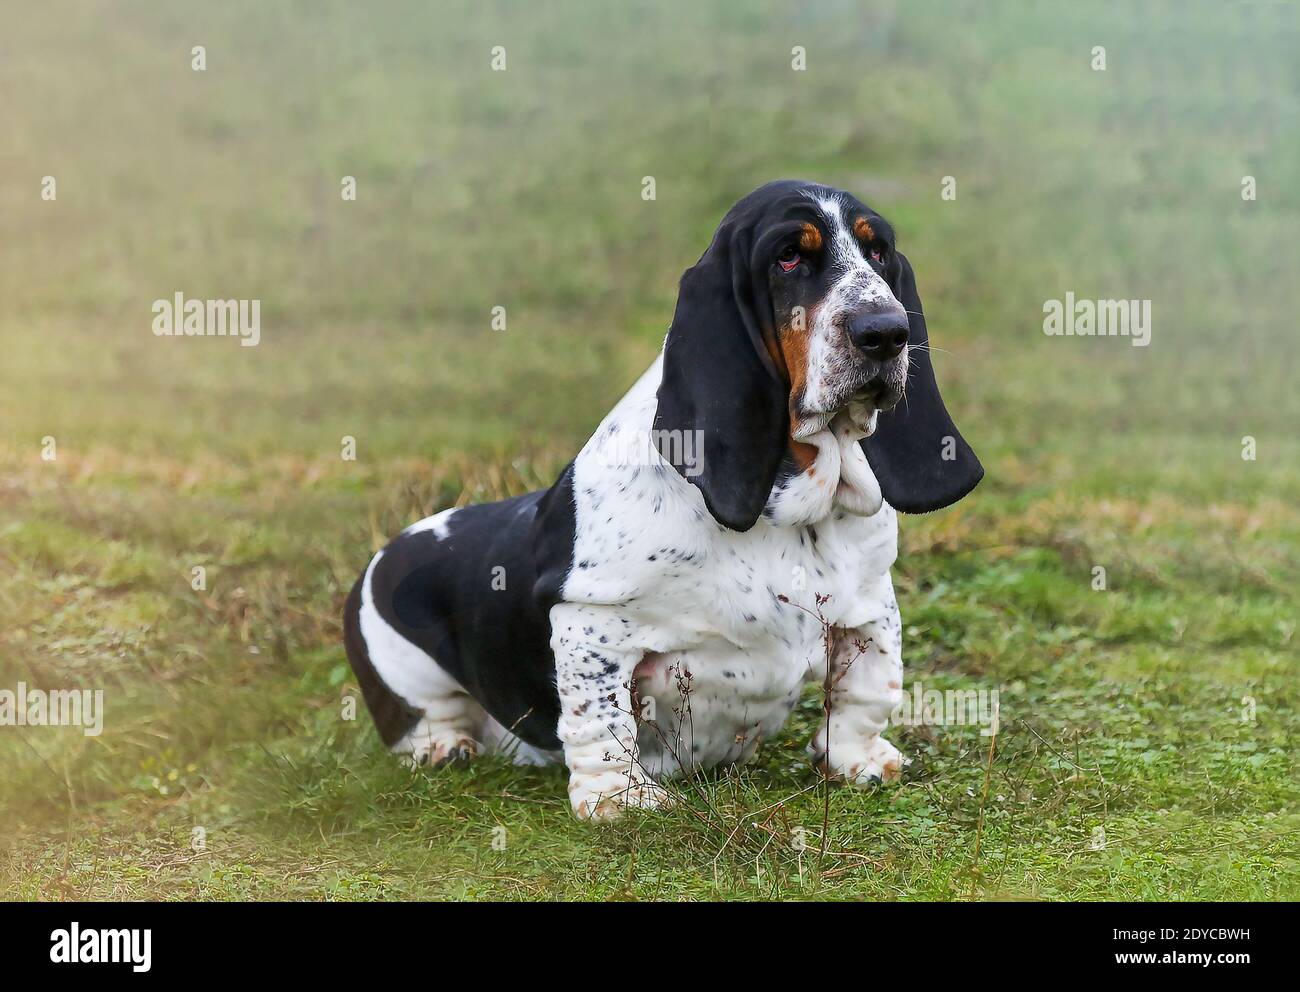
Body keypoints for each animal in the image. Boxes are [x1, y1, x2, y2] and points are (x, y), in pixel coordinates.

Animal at [340, 180, 977, 821]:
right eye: (788, 257)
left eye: (879, 252)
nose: (887, 332)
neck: (790, 504)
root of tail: (384, 554)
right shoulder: (589, 622)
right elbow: (601, 721)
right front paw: (619, 801)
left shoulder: (870, 603)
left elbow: (868, 687)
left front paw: (859, 762)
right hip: (402, 660)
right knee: (431, 715)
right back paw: (446, 746)